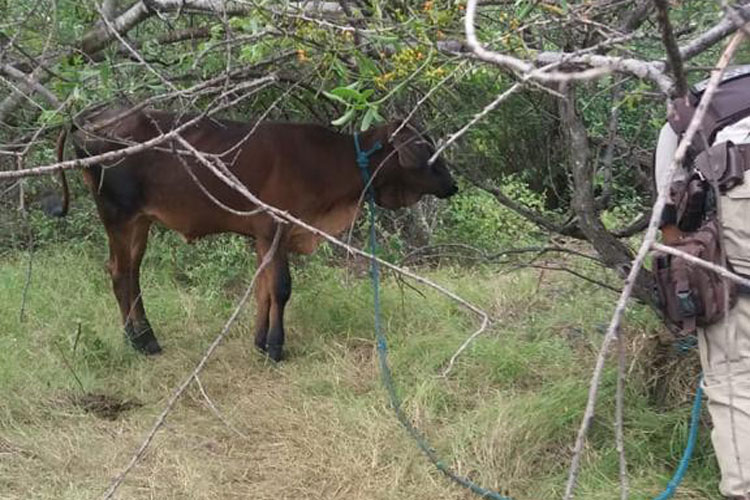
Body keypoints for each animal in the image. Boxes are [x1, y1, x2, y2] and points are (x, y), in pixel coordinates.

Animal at [55, 107, 458, 362]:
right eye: (424, 145)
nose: (453, 185)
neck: (330, 163)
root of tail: (87, 119)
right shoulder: (276, 225)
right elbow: (280, 287)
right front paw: (277, 348)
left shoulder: (262, 237)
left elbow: (263, 288)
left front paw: (261, 341)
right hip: (120, 216)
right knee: (121, 273)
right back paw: (142, 341)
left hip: (139, 221)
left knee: (129, 273)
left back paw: (142, 337)